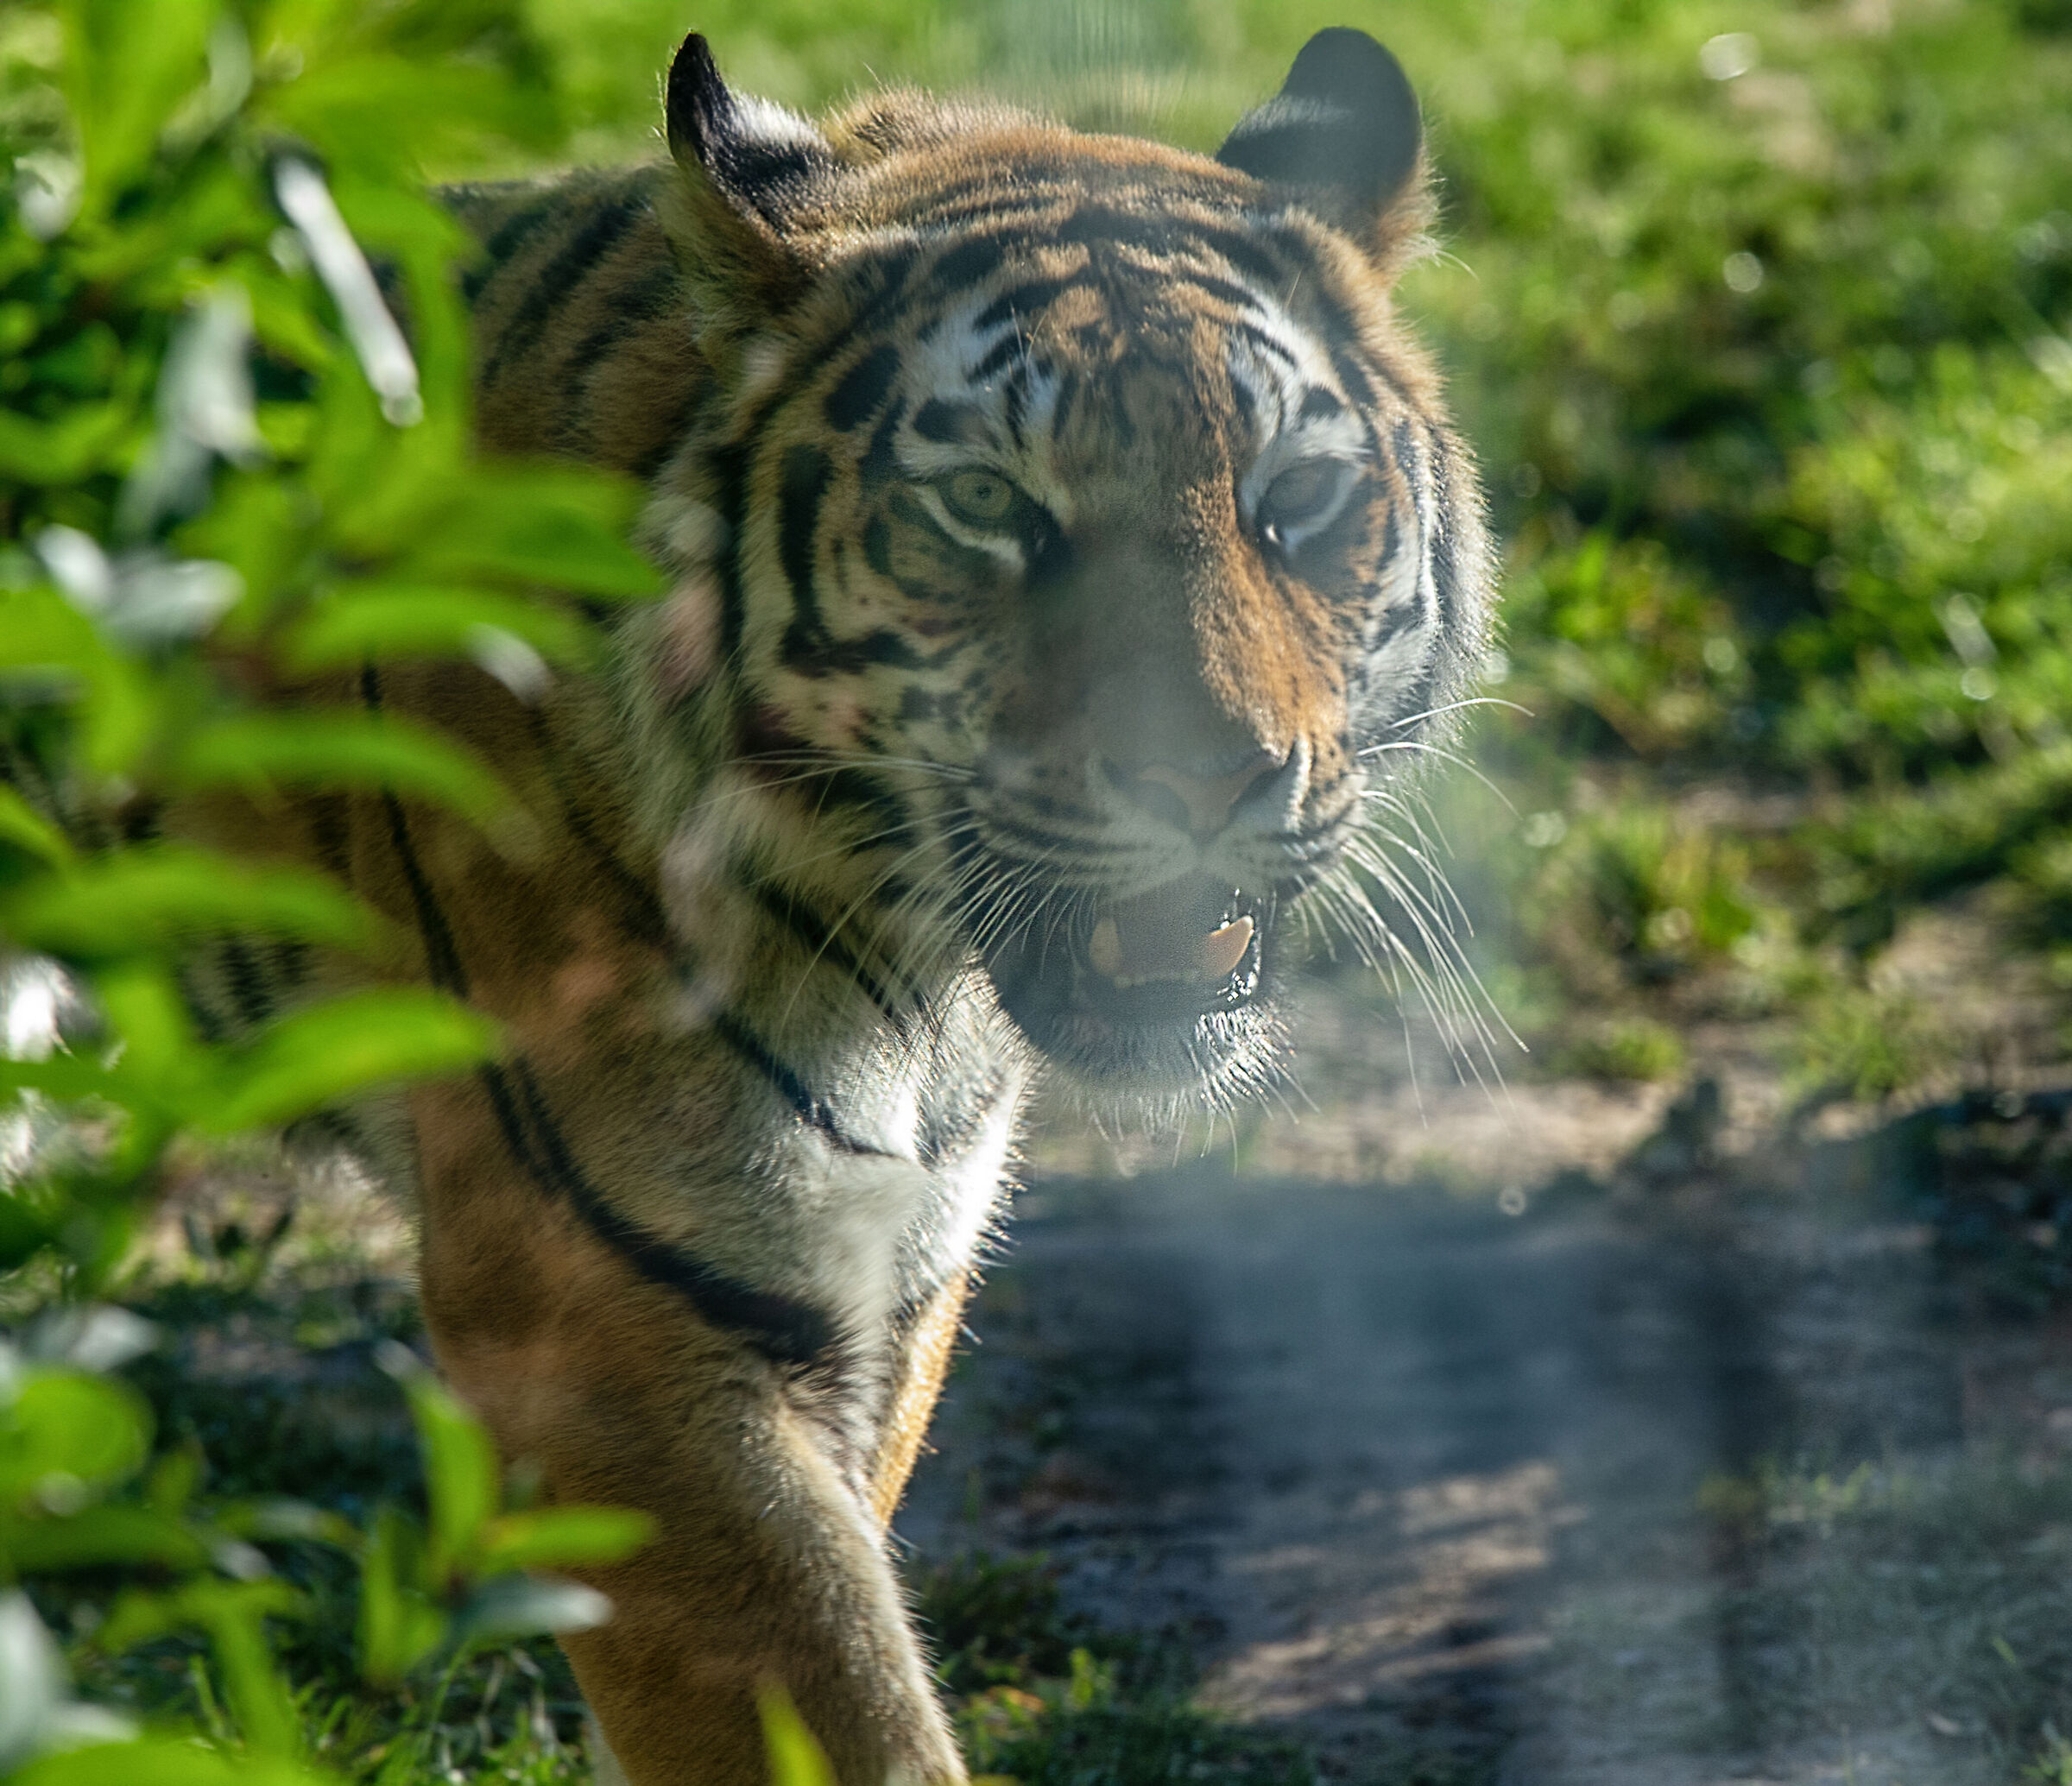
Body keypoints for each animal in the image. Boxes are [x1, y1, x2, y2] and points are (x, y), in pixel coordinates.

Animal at [176, 24, 1494, 1785]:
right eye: (991, 509)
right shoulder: (614, 1296)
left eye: (1296, 498)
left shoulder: (888, 1275)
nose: (1214, 776)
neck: (914, 973)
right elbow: (829, 1700)